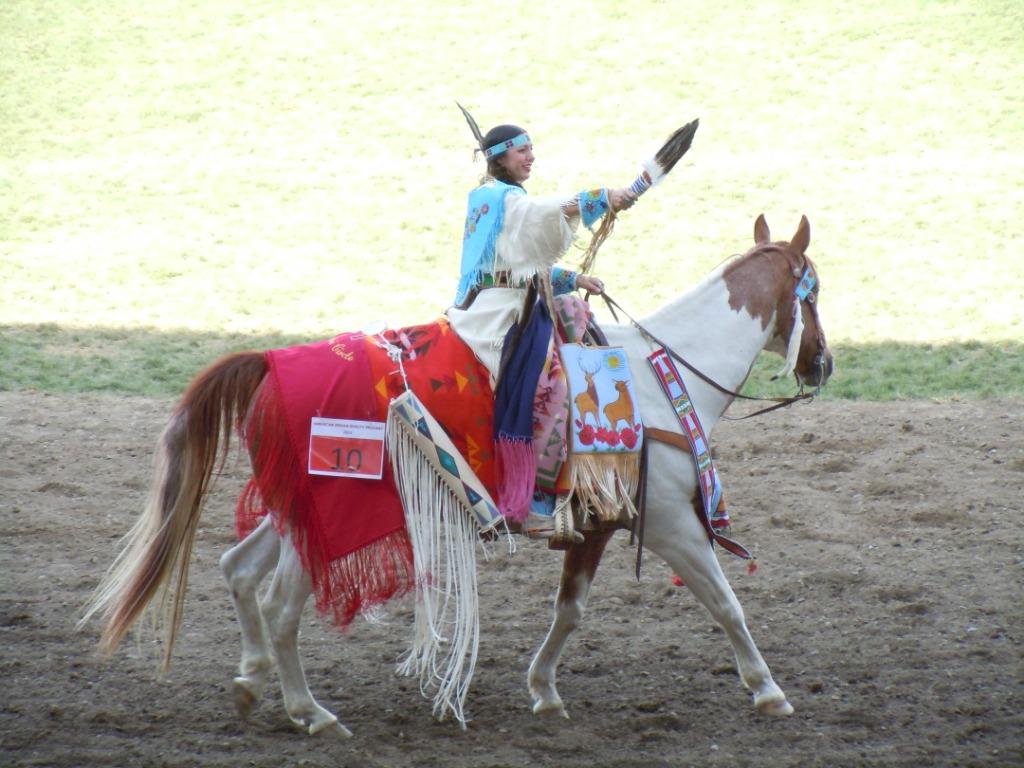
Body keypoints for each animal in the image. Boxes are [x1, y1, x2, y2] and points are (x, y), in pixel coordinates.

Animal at [80, 214, 832, 738]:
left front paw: (543, 689)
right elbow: (726, 602)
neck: (654, 375)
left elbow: (570, 609)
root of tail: (270, 362)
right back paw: (310, 711)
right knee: (279, 604)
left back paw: (251, 681)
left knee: (238, 570)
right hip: (327, 517)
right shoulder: (672, 522)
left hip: (292, 510)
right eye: (815, 292)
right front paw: (768, 689)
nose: (823, 364)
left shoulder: (596, 525)